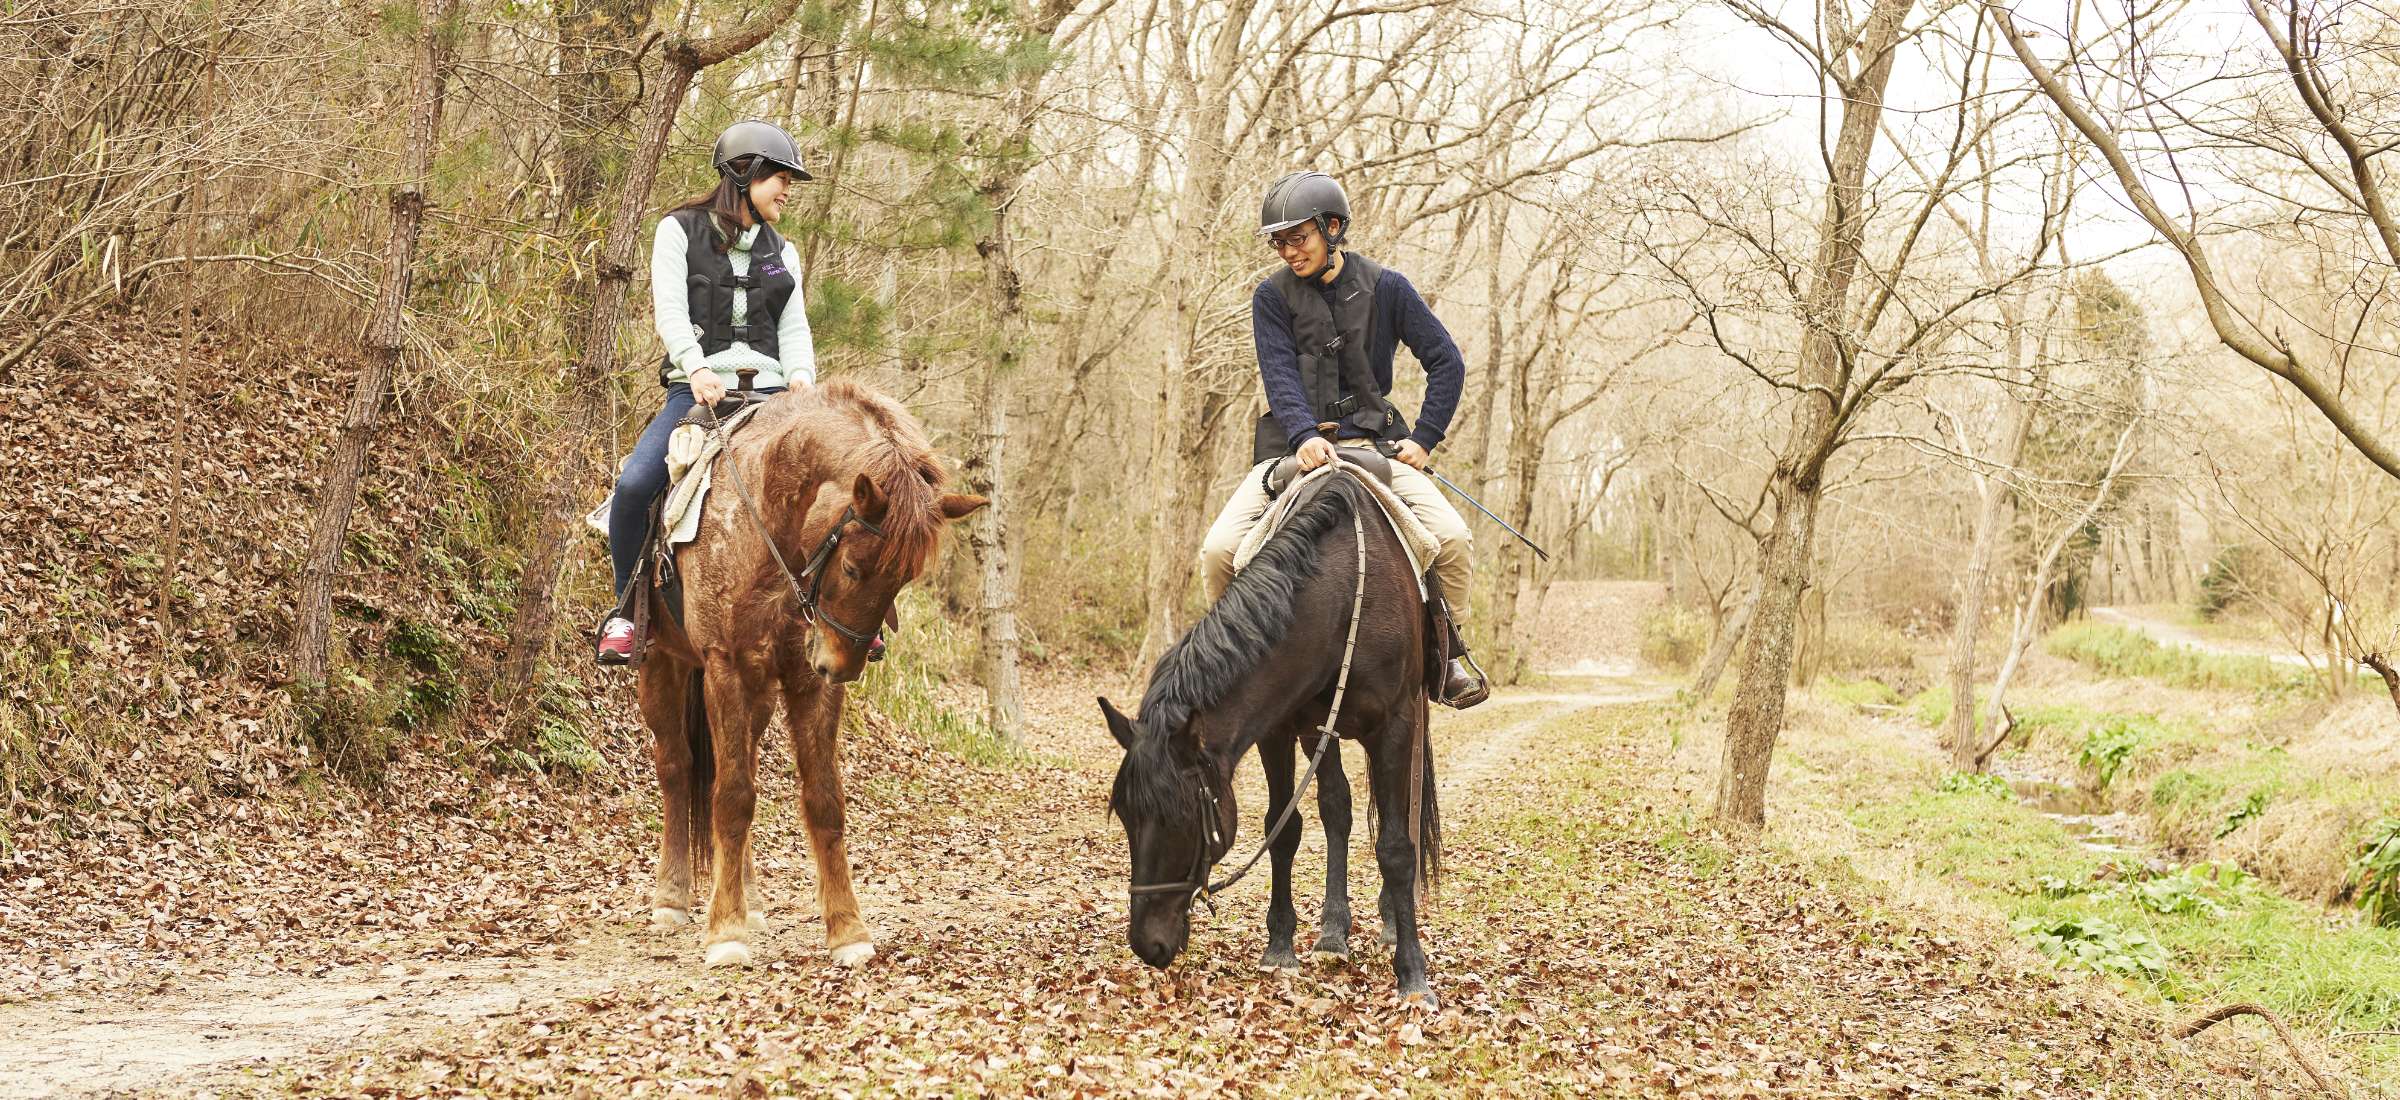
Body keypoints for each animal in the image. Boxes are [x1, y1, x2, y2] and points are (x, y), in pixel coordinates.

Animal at [638, 381, 984, 965]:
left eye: (903, 579)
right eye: (852, 567)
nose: (842, 664)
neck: (766, 525)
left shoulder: (806, 683)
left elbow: (823, 800)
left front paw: (847, 929)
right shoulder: (724, 669)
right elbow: (731, 798)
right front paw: (724, 932)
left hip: (757, 696)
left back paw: (750, 900)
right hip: (662, 665)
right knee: (678, 770)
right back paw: (673, 898)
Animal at [1094, 473, 1440, 1003]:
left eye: (1181, 818)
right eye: (1128, 818)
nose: (1147, 944)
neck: (1344, 595)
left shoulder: (1395, 727)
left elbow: (1396, 847)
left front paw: (1413, 973)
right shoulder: (1277, 730)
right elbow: (1284, 828)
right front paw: (1280, 947)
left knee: (1401, 817)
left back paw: (1385, 923)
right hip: (1322, 733)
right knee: (1336, 808)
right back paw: (1333, 930)